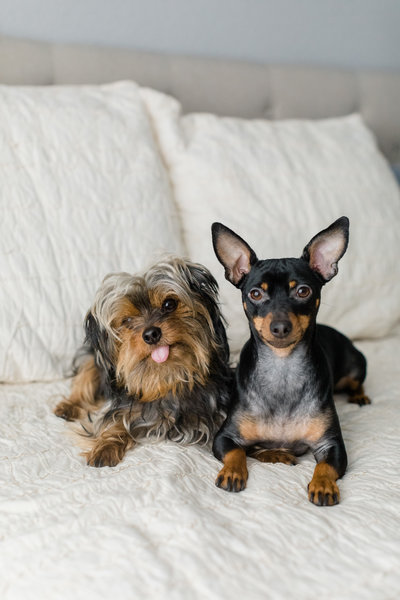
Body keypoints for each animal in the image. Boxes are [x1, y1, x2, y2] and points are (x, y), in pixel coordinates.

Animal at [54, 258, 233, 468]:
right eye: (127, 320)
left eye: (169, 304)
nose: (151, 334)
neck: (168, 378)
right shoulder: (120, 407)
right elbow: (114, 421)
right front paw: (105, 447)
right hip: (92, 358)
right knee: (83, 380)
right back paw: (67, 407)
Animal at [211, 218, 370, 504]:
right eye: (255, 294)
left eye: (303, 291)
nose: (280, 327)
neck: (282, 368)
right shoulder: (224, 437)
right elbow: (238, 452)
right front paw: (234, 471)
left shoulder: (333, 445)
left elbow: (325, 466)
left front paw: (323, 485)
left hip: (355, 366)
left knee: (356, 382)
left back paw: (359, 396)